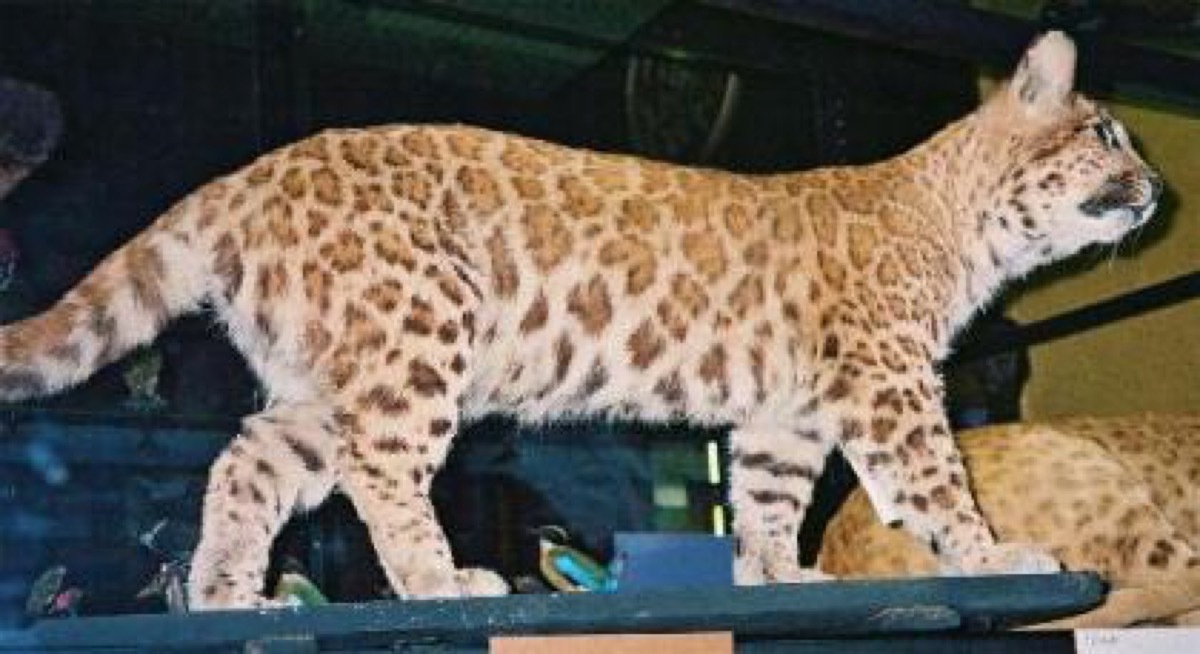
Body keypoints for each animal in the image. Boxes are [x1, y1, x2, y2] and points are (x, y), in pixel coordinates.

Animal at [0, 31, 1161, 609]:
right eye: (1108, 133)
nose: (1157, 187)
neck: (965, 228)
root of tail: (245, 175)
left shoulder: (787, 414)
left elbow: (770, 498)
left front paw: (777, 574)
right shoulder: (888, 383)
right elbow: (935, 481)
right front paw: (997, 555)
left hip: (325, 374)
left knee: (251, 460)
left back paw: (230, 594)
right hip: (416, 333)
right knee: (380, 469)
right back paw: (439, 580)